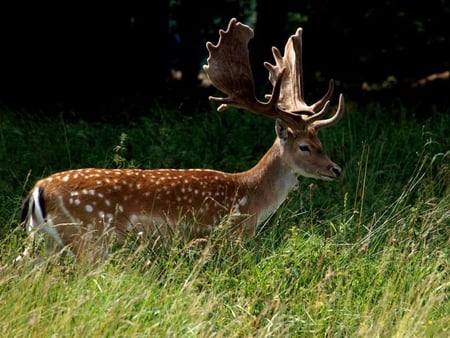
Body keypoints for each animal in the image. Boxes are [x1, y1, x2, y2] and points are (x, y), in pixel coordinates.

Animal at [16, 17, 342, 262]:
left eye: (320, 141)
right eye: (304, 146)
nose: (336, 169)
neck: (249, 197)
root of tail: (38, 190)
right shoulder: (219, 237)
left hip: (45, 241)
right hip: (88, 235)